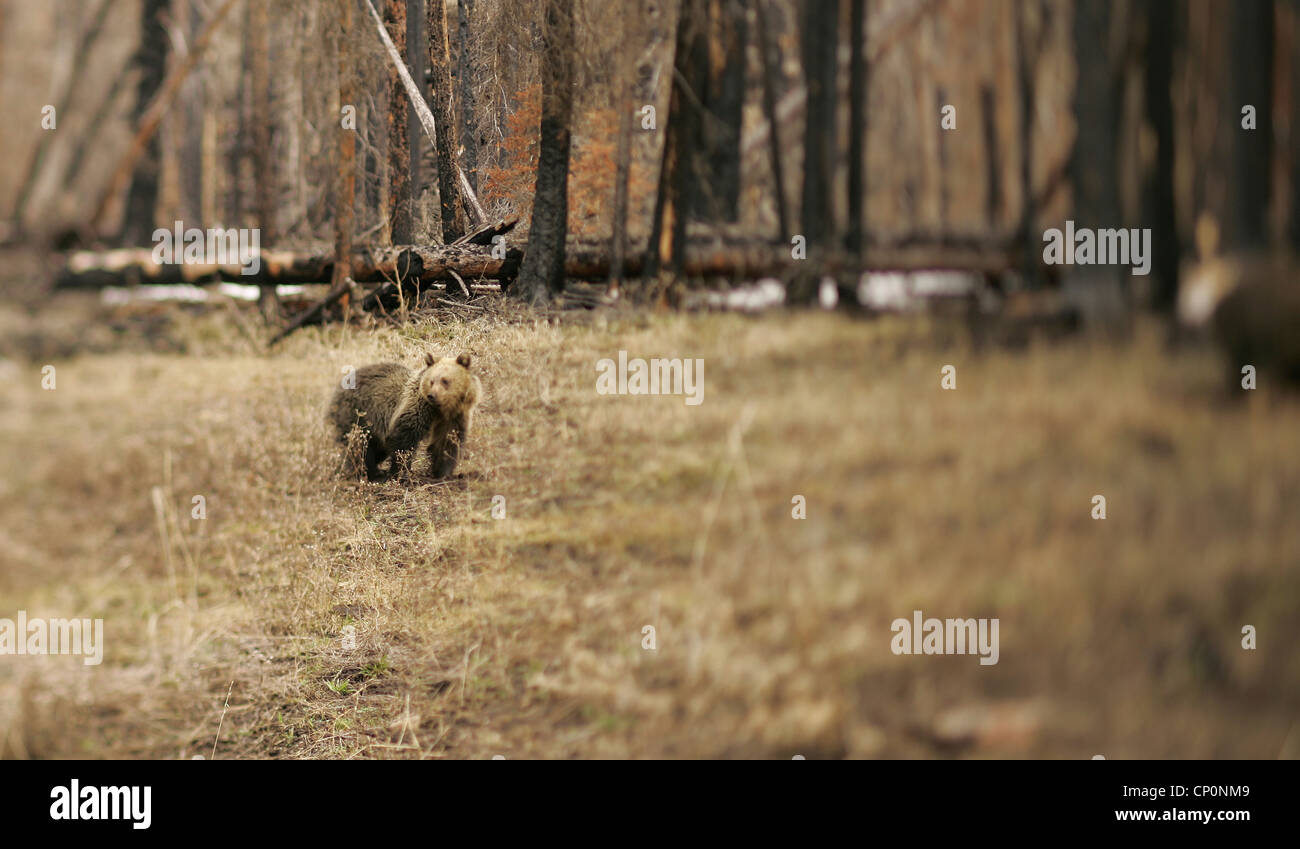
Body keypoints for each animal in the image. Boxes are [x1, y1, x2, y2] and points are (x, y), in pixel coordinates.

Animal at [328, 352, 481, 481]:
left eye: (445, 380)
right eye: (431, 381)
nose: (432, 395)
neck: (440, 409)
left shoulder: (454, 417)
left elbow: (448, 441)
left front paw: (443, 472)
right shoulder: (416, 408)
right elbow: (405, 440)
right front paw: (399, 473)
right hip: (357, 413)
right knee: (360, 445)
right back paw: (368, 472)